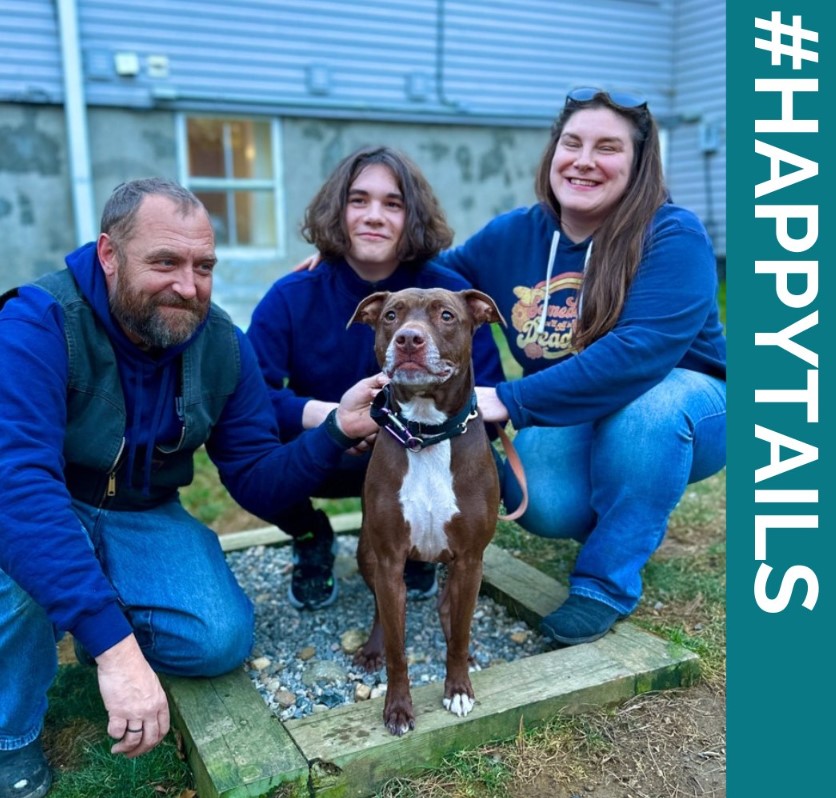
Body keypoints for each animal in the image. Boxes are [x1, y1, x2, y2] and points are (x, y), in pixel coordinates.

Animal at [350, 288, 506, 736]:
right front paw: (398, 708)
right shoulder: (388, 560)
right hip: (367, 554)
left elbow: (460, 633)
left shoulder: (470, 558)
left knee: (449, 611)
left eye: (447, 315)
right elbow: (397, 649)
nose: (409, 339)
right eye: (390, 315)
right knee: (381, 612)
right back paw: (371, 648)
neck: (427, 433)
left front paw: (458, 688)